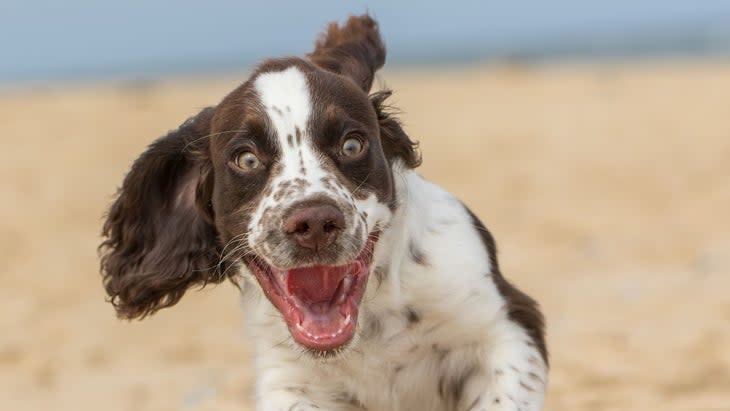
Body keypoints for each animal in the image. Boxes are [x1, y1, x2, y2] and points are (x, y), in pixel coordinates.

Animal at [99, 14, 544, 410]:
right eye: (246, 159)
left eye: (352, 145)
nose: (313, 222)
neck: (370, 326)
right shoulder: (286, 379)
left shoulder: (508, 326)